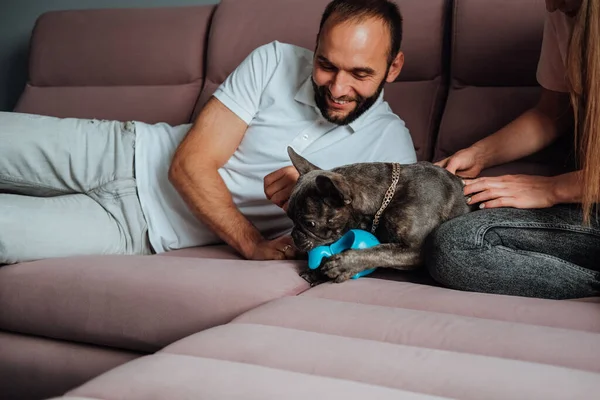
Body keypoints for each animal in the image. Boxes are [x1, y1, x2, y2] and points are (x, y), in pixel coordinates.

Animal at [286, 148, 474, 284]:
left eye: (311, 224)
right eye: (289, 217)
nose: (294, 236)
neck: (386, 196)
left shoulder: (415, 250)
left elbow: (380, 251)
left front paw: (345, 265)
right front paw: (316, 272)